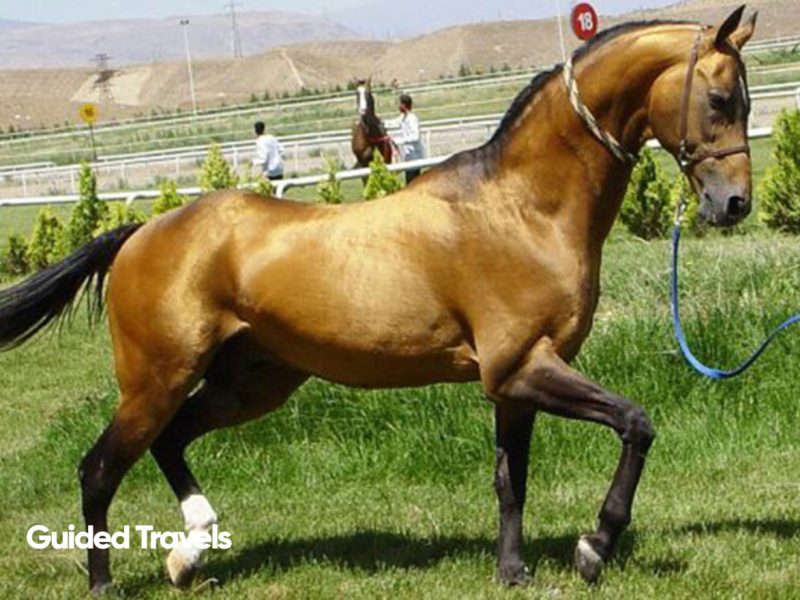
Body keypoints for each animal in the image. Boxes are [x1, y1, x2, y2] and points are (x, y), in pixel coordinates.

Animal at [0, 7, 756, 593]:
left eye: (745, 103)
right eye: (721, 100)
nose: (734, 204)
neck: (522, 207)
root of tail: (140, 233)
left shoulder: (515, 380)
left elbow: (511, 479)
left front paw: (513, 571)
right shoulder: (522, 367)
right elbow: (635, 423)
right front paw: (593, 547)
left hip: (250, 382)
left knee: (170, 442)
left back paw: (190, 553)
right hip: (157, 379)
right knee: (100, 468)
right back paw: (107, 581)